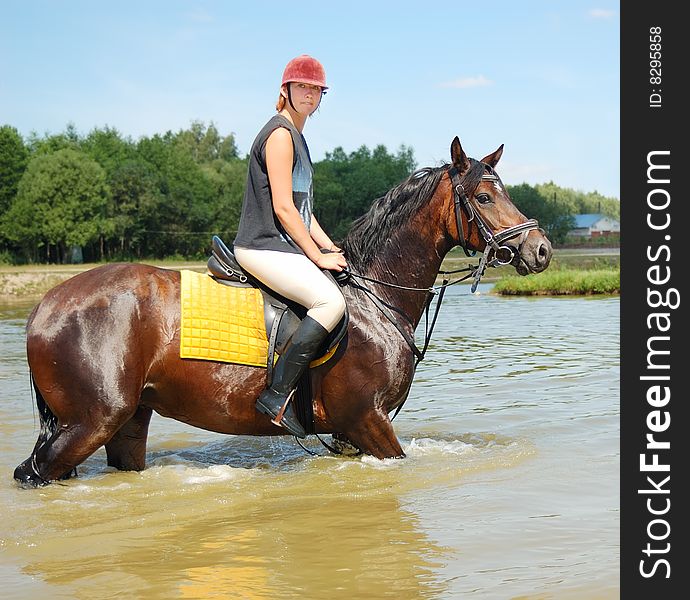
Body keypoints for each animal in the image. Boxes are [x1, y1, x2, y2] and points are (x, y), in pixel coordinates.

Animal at [14, 138, 548, 486]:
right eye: (484, 196)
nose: (540, 250)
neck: (375, 298)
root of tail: (45, 304)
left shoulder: (352, 434)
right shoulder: (368, 421)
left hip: (128, 421)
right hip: (89, 422)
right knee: (32, 473)